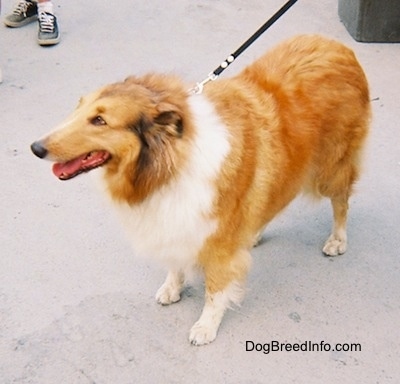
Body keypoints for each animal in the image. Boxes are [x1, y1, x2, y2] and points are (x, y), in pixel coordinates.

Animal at [29, 35, 370, 344]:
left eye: (100, 120)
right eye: (78, 108)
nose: (35, 148)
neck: (170, 161)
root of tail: (337, 45)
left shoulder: (218, 239)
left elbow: (215, 289)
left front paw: (206, 327)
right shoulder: (178, 219)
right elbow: (175, 261)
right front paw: (172, 287)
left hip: (331, 168)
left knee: (341, 203)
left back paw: (337, 240)